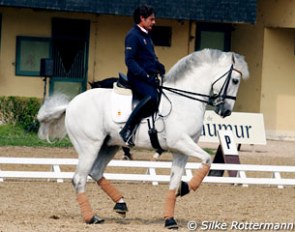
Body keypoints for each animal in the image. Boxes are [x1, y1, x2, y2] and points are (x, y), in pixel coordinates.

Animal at [37, 48, 250, 228]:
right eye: (235, 81)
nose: (226, 112)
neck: (184, 101)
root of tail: (71, 104)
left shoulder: (181, 150)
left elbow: (175, 181)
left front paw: (171, 216)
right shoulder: (180, 142)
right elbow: (206, 159)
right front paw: (186, 188)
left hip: (109, 145)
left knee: (95, 172)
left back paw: (121, 204)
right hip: (90, 146)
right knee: (79, 179)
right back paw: (92, 217)